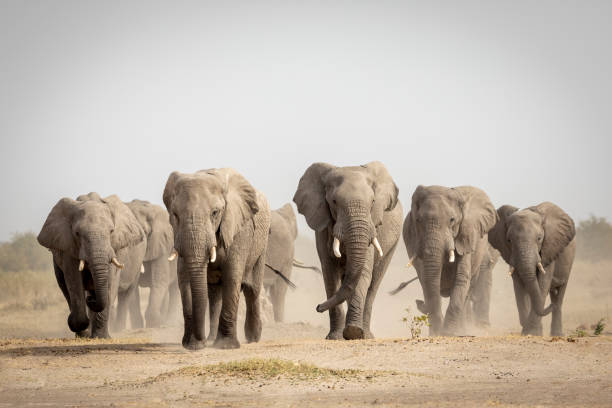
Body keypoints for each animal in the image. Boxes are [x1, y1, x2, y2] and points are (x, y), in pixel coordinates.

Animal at [37, 193, 146, 340]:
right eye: (77, 233)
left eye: (111, 231)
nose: (91, 299)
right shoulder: (68, 247)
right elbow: (74, 280)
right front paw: (82, 328)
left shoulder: (115, 248)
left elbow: (110, 281)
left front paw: (101, 337)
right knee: (64, 287)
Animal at [163, 167, 270, 350]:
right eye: (175, 215)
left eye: (215, 213)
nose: (201, 341)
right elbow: (184, 280)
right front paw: (192, 345)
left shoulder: (239, 229)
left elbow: (232, 276)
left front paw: (226, 346)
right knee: (214, 295)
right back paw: (212, 338)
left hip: (261, 245)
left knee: (253, 289)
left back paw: (253, 338)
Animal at [294, 161, 404, 340]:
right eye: (334, 201)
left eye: (373, 201)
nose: (318, 307)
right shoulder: (323, 228)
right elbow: (330, 274)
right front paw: (335, 337)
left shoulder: (371, 227)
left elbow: (363, 273)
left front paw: (354, 332)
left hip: (392, 245)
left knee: (373, 284)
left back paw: (367, 334)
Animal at [404, 186, 500, 336]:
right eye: (418, 220)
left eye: (452, 220)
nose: (418, 302)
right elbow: (427, 281)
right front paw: (436, 333)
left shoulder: (466, 236)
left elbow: (461, 278)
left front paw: (448, 333)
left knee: (467, 292)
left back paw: (462, 330)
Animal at [488, 202, 580, 336]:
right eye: (509, 240)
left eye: (539, 238)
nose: (550, 306)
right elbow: (519, 286)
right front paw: (529, 331)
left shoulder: (549, 249)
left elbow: (542, 283)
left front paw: (532, 332)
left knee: (560, 293)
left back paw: (556, 332)